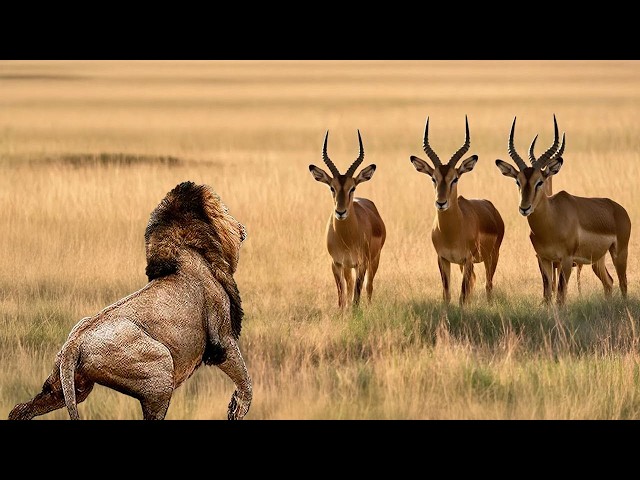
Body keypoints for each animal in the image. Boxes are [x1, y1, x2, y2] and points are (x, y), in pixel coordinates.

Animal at [8, 181, 252, 420]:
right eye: (225, 210)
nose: (242, 227)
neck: (188, 248)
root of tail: (73, 343)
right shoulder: (222, 338)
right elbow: (244, 378)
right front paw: (237, 408)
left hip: (69, 387)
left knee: (21, 408)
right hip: (160, 370)